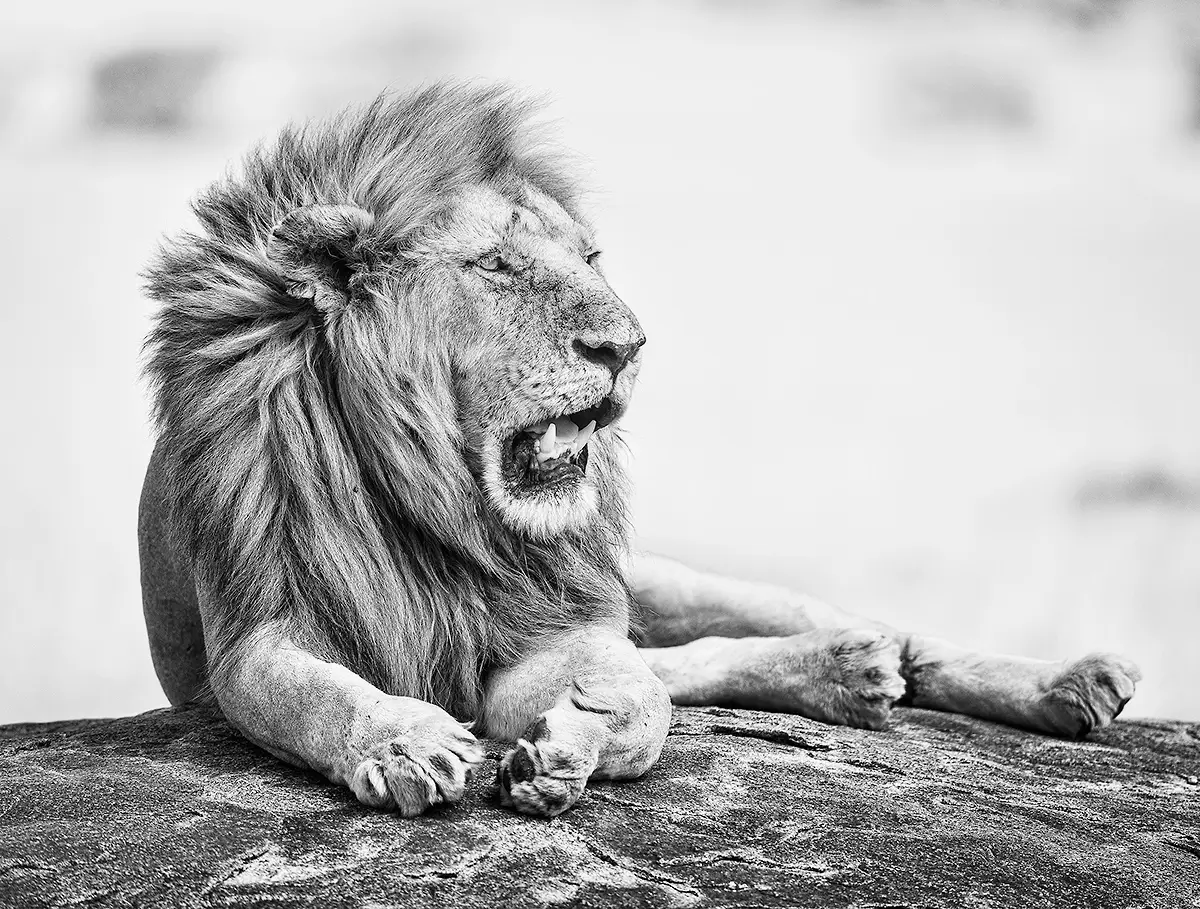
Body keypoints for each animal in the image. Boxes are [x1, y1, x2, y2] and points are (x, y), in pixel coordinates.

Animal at [139, 84, 1141, 819]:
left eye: (590, 257)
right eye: (495, 265)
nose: (626, 345)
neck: (435, 500)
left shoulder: (561, 621)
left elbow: (642, 707)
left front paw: (562, 750)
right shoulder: (258, 633)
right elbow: (323, 696)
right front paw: (407, 742)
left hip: (665, 581)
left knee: (866, 636)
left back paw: (1060, 681)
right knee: (702, 659)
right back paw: (844, 675)